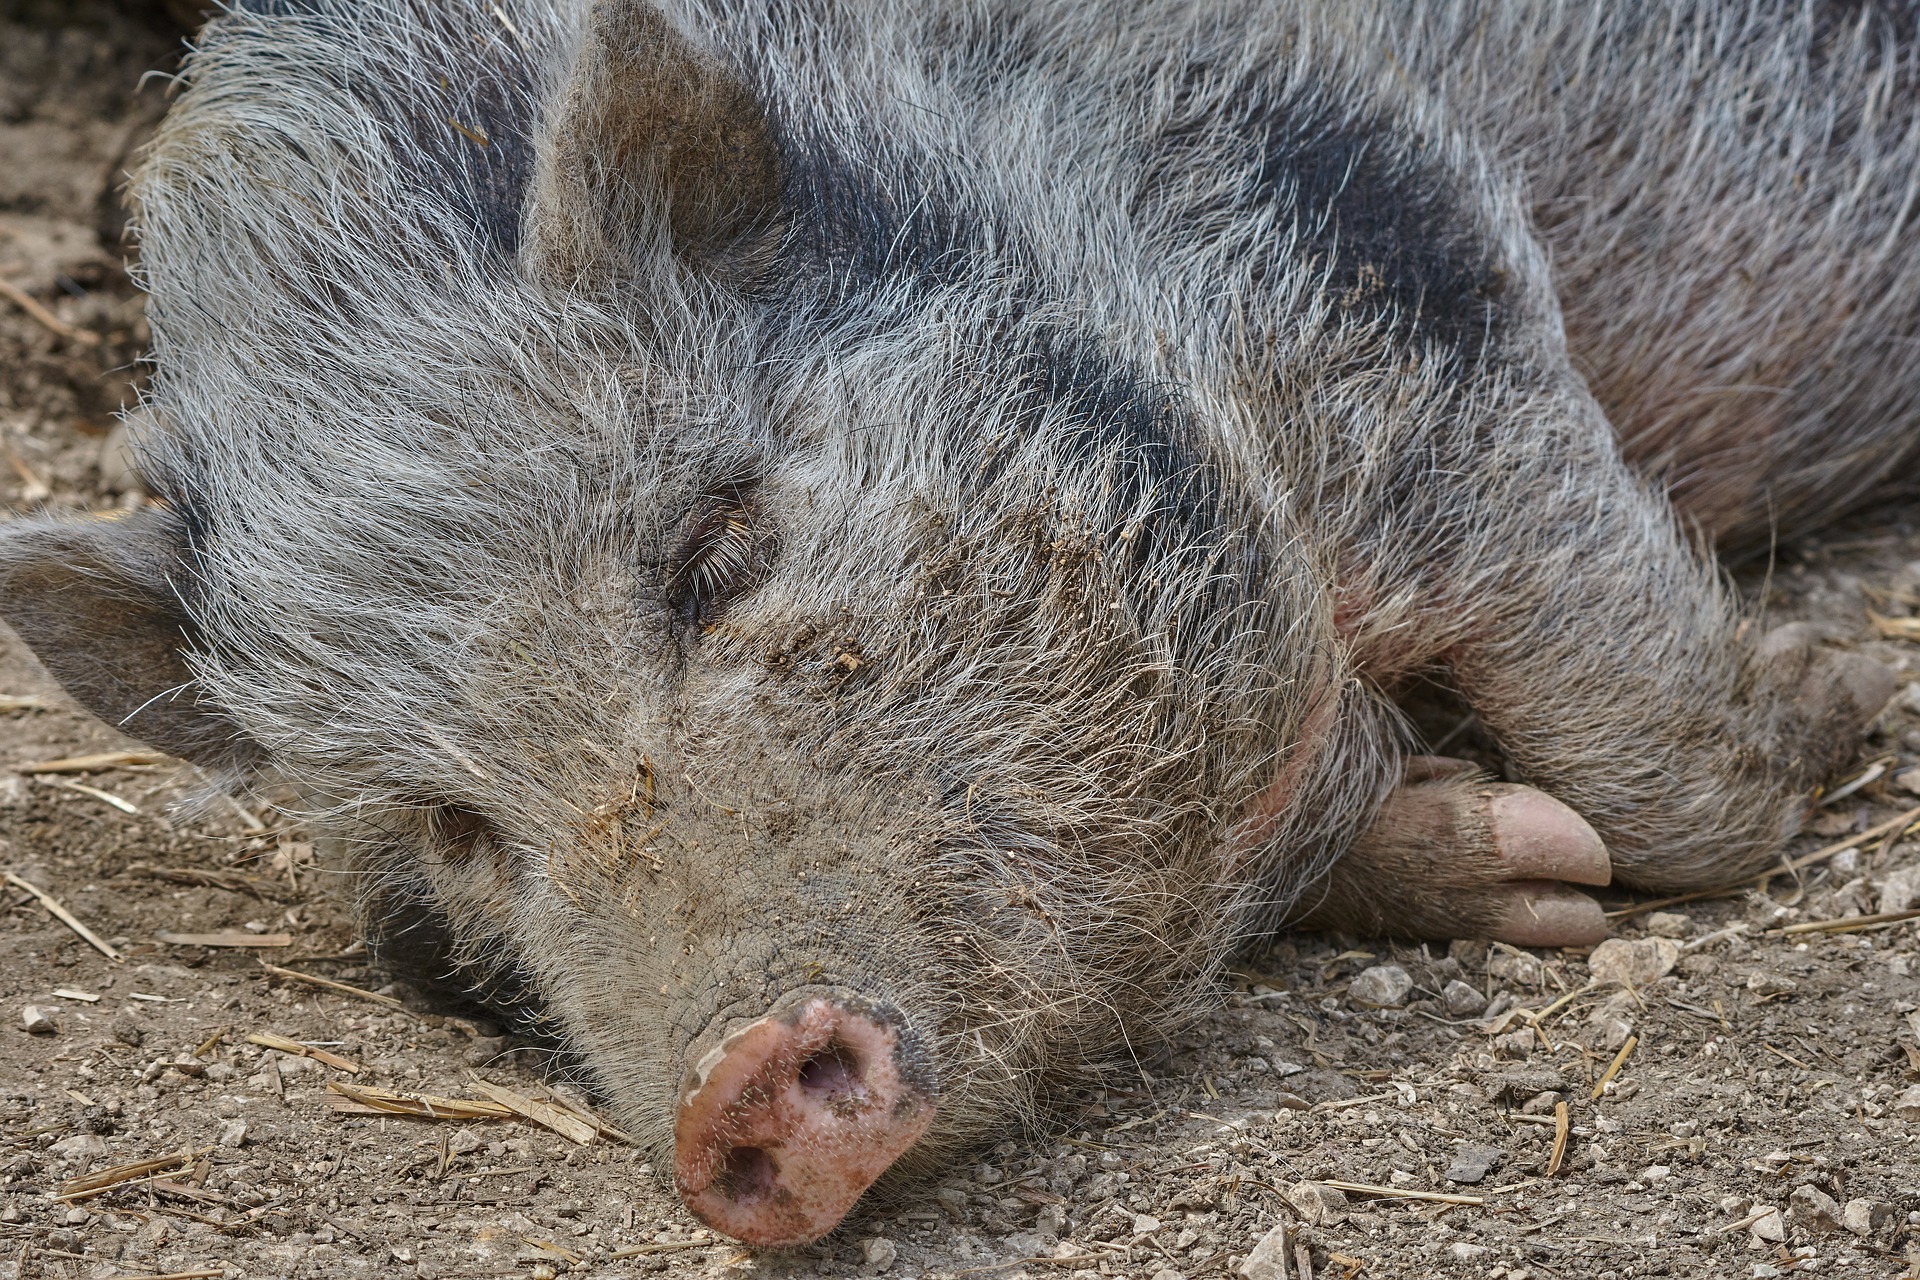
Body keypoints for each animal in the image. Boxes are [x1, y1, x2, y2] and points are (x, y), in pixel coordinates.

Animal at [0, 0, 1896, 1251]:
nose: (734, 1079)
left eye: (716, 551)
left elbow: (1647, 741)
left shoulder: (1393, 256)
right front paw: (1522, 859)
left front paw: (1838, 697)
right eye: (454, 828)